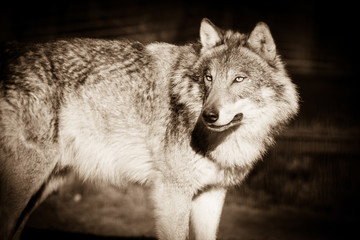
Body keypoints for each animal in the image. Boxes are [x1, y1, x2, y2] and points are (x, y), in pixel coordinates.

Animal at [0, 17, 298, 239]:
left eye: (239, 79)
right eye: (208, 78)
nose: (209, 116)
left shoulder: (212, 194)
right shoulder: (172, 192)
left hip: (44, 186)